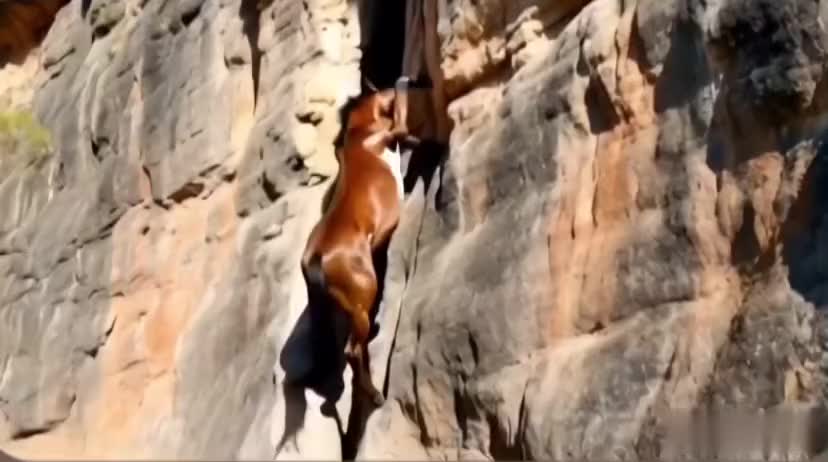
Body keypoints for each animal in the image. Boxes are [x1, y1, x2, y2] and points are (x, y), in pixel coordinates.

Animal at [300, 80, 415, 406]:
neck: (360, 134)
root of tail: (317, 256)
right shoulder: (393, 132)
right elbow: (402, 114)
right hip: (363, 297)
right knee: (352, 351)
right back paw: (375, 394)